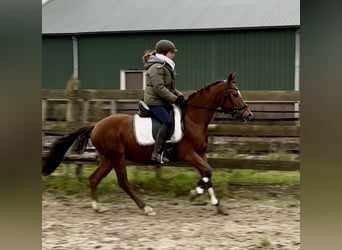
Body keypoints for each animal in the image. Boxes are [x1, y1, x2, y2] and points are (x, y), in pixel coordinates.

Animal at [41, 72, 252, 215]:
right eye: (235, 94)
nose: (248, 114)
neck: (193, 119)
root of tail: (97, 125)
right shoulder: (188, 154)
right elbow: (207, 172)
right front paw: (195, 193)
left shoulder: (201, 153)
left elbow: (208, 174)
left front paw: (217, 205)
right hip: (117, 157)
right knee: (123, 182)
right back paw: (146, 208)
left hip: (108, 158)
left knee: (94, 179)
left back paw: (98, 207)